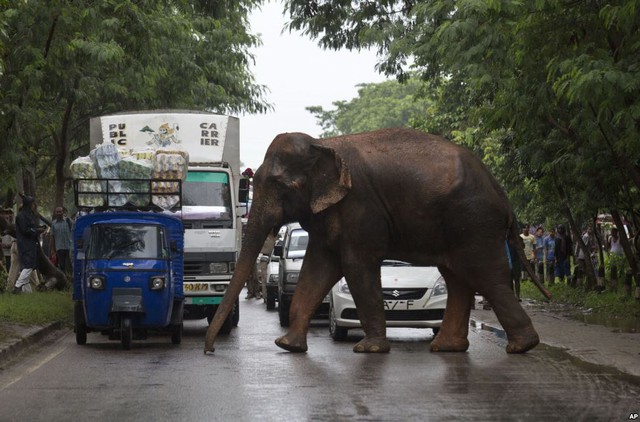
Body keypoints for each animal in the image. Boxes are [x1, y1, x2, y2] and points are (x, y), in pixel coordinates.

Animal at [206, 129, 552, 356]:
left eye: (280, 186)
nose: (210, 350)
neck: (324, 145)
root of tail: (501, 192)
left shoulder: (360, 206)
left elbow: (356, 265)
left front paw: (369, 349)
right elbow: (317, 267)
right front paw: (287, 346)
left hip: (474, 221)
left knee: (485, 275)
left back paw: (521, 346)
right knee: (457, 278)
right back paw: (446, 348)